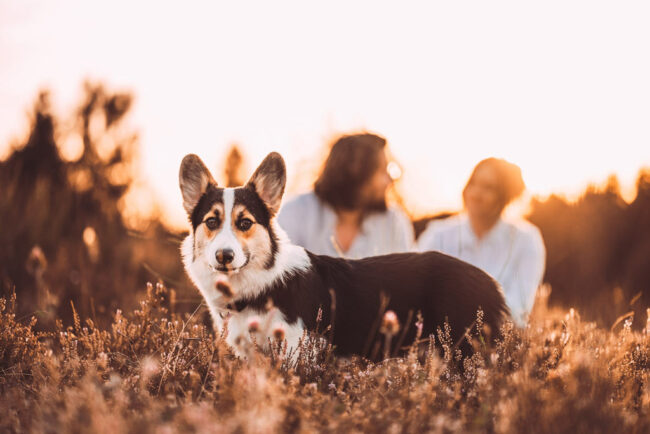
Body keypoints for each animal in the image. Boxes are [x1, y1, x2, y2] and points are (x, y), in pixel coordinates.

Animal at [180, 153, 508, 360]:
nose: (224, 256)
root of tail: (491, 282)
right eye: (212, 221)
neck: (262, 280)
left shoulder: (294, 351)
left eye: (245, 223)